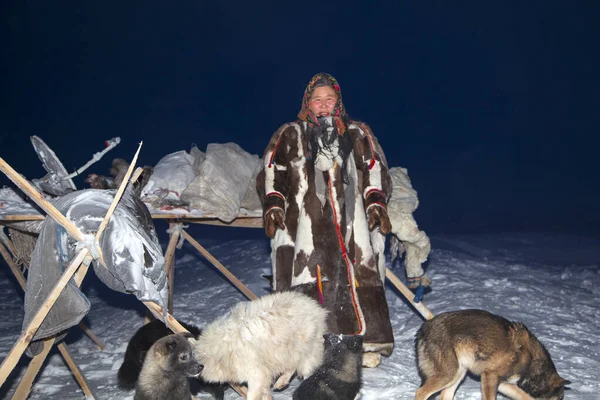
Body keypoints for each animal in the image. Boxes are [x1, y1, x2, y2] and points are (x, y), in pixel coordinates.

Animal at [195, 290, 328, 400]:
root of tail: (314, 306)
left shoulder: (256, 373)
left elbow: (252, 395)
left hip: (306, 349)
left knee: (304, 369)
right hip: (288, 352)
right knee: (292, 367)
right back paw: (281, 383)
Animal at [414, 310, 568, 400]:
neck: (531, 361)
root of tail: (424, 327)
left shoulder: (503, 384)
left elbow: (524, 396)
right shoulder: (490, 376)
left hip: (458, 375)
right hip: (449, 375)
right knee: (420, 392)